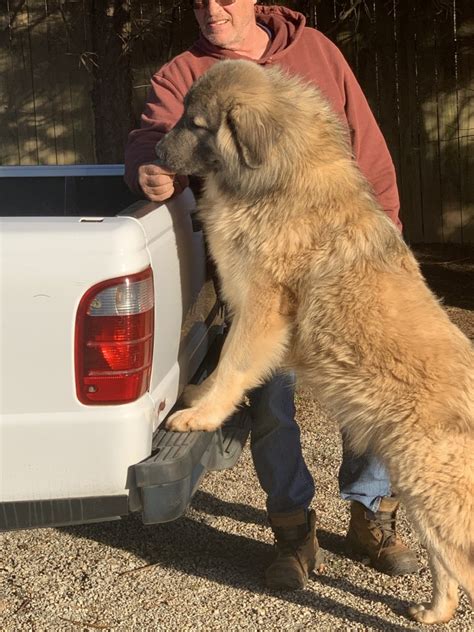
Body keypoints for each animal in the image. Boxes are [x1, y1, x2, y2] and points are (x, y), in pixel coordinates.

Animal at [155, 60, 470, 628]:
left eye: (195, 123)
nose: (155, 153)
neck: (278, 177)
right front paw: (198, 399)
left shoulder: (262, 308)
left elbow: (233, 365)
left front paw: (201, 415)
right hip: (423, 499)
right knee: (447, 568)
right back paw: (434, 611)